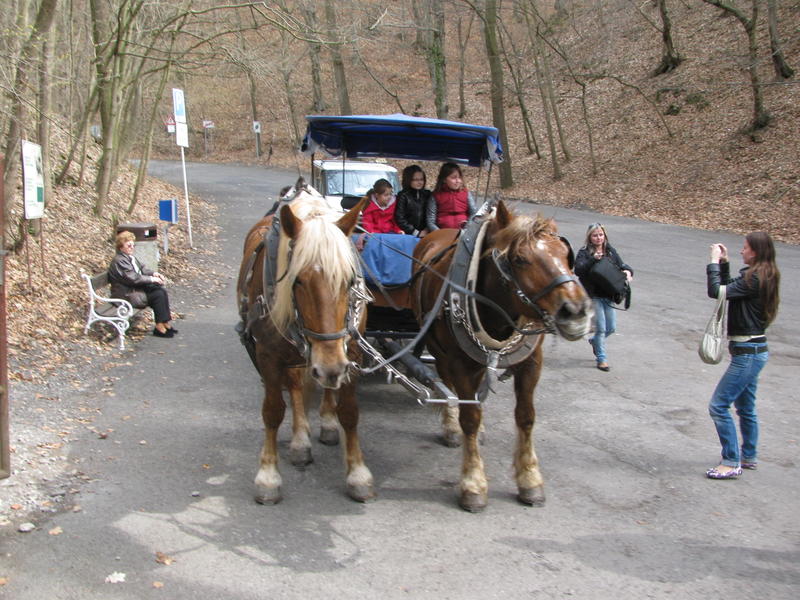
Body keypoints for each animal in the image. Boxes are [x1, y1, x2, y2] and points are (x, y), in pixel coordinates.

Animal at [238, 185, 376, 504]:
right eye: (298, 280)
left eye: (349, 279)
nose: (330, 367)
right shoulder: (268, 355)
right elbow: (273, 411)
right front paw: (268, 476)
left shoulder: (351, 353)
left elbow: (349, 412)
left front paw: (357, 473)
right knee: (296, 387)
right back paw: (300, 441)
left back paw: (325, 423)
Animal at [412, 202, 592, 510]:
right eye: (519, 259)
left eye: (565, 252)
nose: (577, 311)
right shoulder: (459, 363)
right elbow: (469, 417)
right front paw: (473, 483)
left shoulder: (532, 363)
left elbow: (526, 417)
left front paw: (529, 479)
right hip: (440, 349)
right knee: (446, 382)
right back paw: (451, 424)